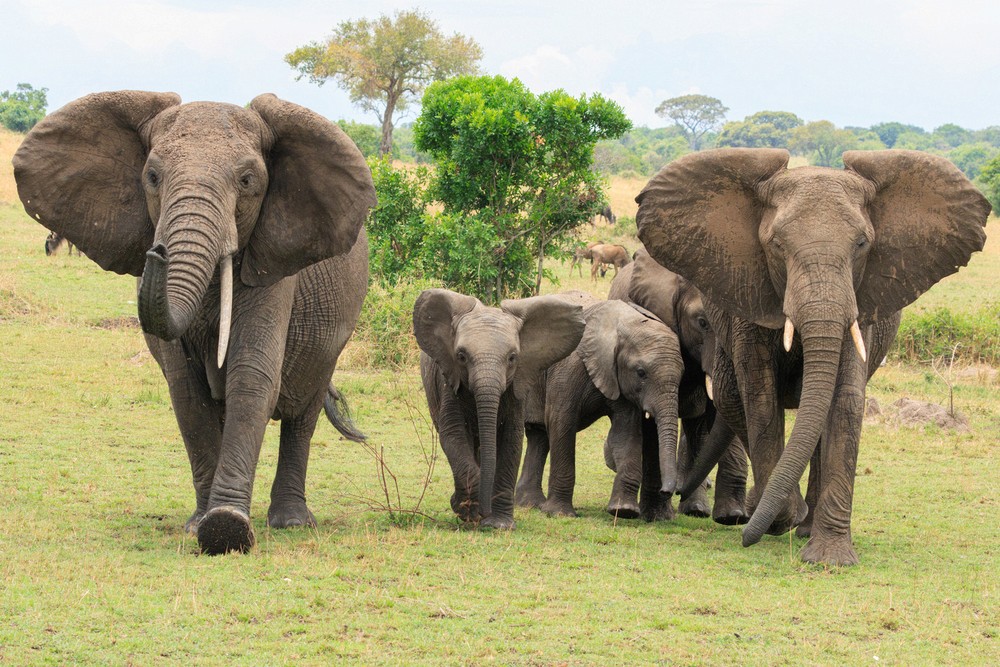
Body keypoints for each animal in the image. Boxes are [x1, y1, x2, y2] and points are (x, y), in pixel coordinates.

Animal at [13, 90, 377, 555]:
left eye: (247, 180)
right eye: (152, 176)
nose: (157, 252)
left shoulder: (274, 266)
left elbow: (251, 375)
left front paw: (227, 528)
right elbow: (186, 391)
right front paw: (201, 525)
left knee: (303, 414)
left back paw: (292, 522)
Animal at [414, 288, 585, 529]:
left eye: (512, 358)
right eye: (461, 356)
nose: (484, 513)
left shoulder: (516, 387)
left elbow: (511, 439)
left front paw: (500, 525)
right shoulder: (449, 381)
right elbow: (453, 434)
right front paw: (468, 509)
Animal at [514, 294, 684, 521]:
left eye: (682, 376)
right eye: (641, 373)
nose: (667, 491)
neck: (623, 323)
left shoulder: (620, 382)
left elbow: (625, 434)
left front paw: (624, 511)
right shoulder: (569, 366)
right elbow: (561, 421)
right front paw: (560, 514)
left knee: (538, 435)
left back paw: (530, 504)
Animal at [608, 248, 748, 524]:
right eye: (702, 322)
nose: (675, 491)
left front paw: (733, 517)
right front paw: (657, 516)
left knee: (697, 430)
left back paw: (697, 509)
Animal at [636, 148, 989, 565]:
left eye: (862, 245)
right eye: (775, 245)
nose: (673, 490)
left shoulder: (860, 304)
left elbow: (845, 400)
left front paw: (828, 559)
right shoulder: (749, 299)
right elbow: (760, 397)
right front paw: (780, 518)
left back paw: (802, 525)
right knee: (731, 398)